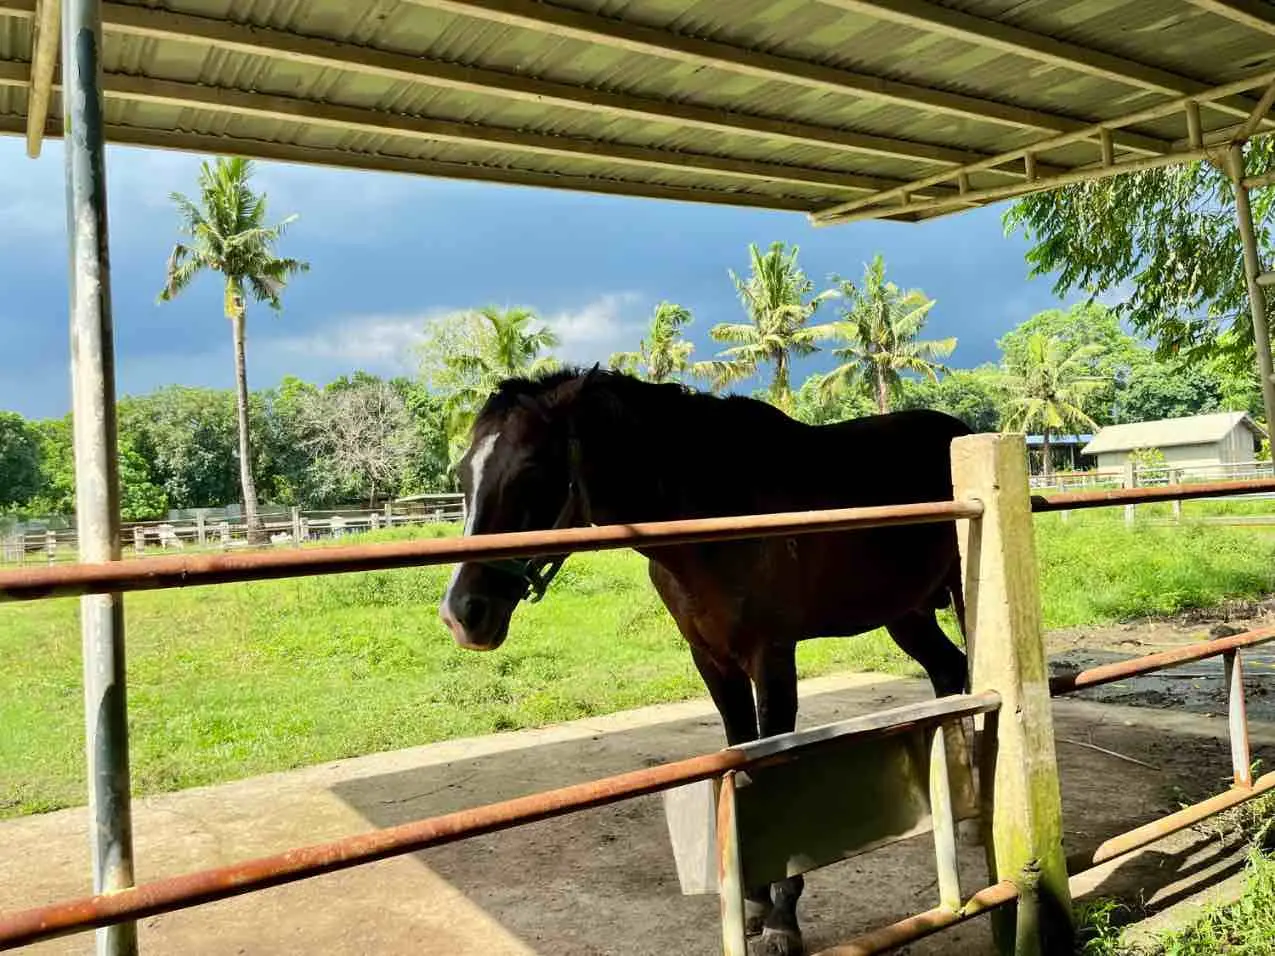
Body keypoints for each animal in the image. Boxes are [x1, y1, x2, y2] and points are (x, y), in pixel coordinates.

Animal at [438, 366, 975, 956]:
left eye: (532, 470)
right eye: (464, 472)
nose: (463, 613)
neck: (716, 512)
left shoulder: (771, 656)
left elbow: (769, 766)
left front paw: (782, 919)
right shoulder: (713, 661)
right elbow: (737, 761)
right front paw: (754, 904)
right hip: (907, 615)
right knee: (948, 673)